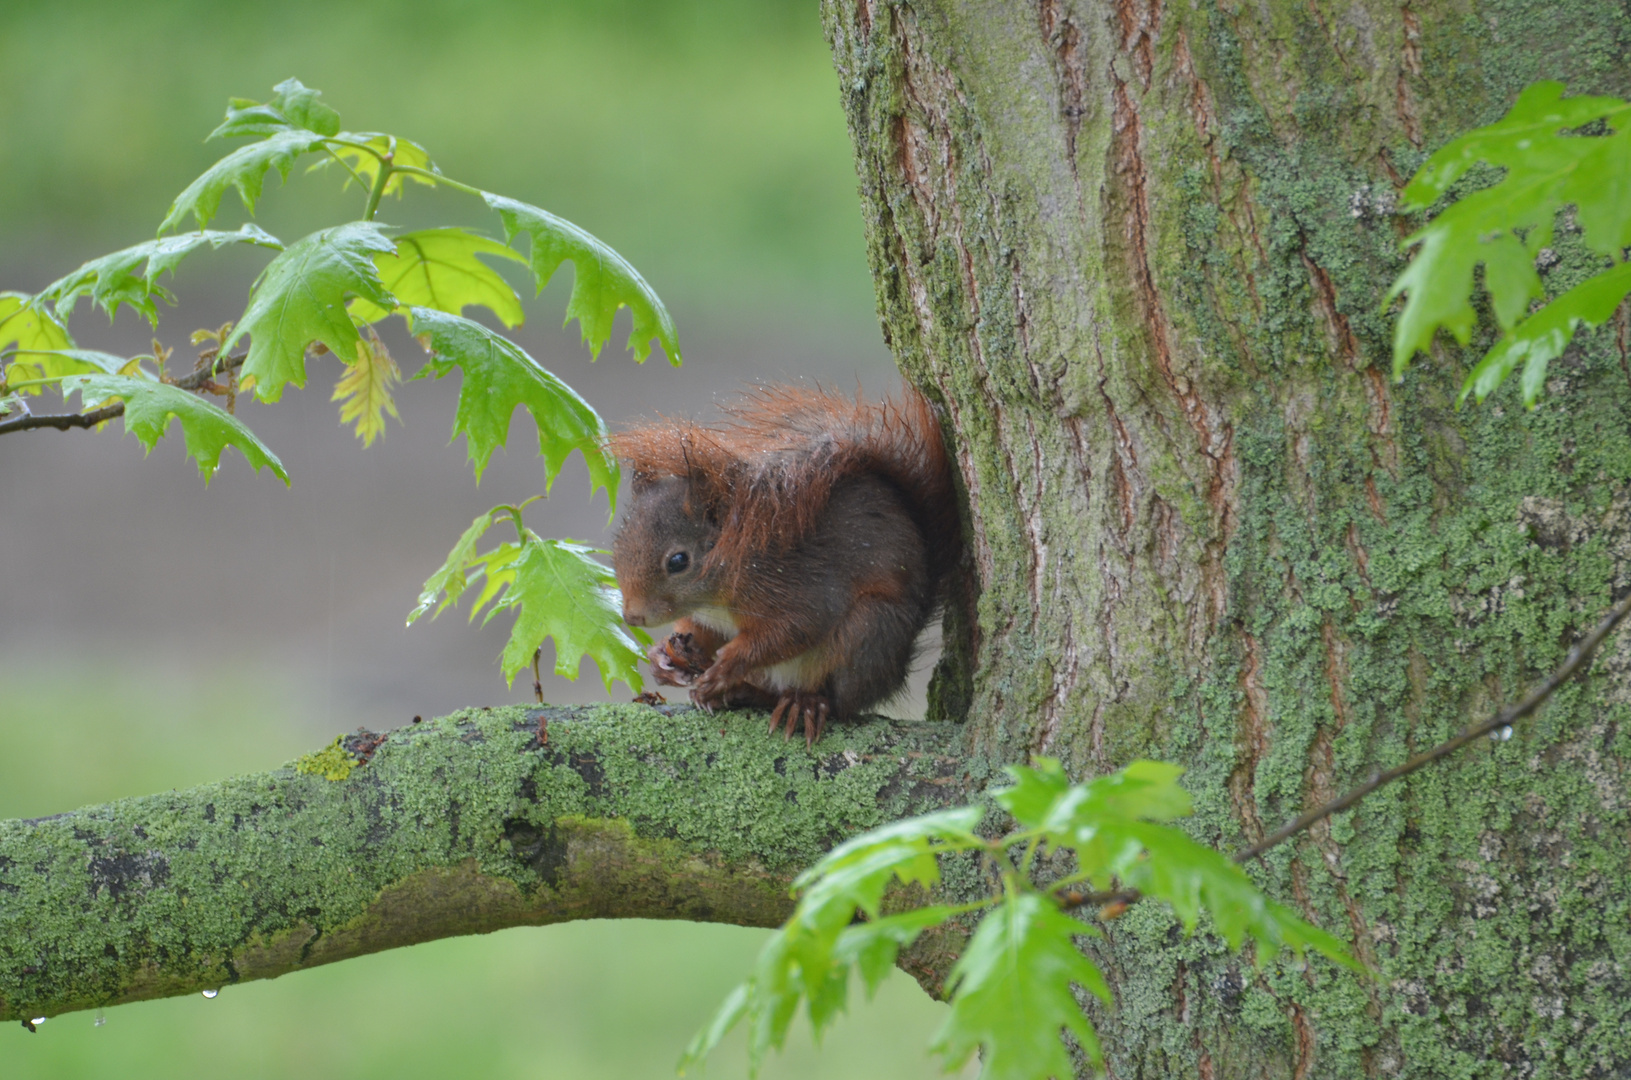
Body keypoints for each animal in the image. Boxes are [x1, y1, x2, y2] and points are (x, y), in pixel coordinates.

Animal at [616, 385, 959, 750]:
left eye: (678, 561)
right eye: (619, 547)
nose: (633, 617)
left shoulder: (798, 587)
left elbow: (796, 628)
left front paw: (728, 663)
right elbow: (700, 631)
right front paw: (662, 657)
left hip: (869, 631)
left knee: (839, 700)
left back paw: (798, 701)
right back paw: (739, 691)